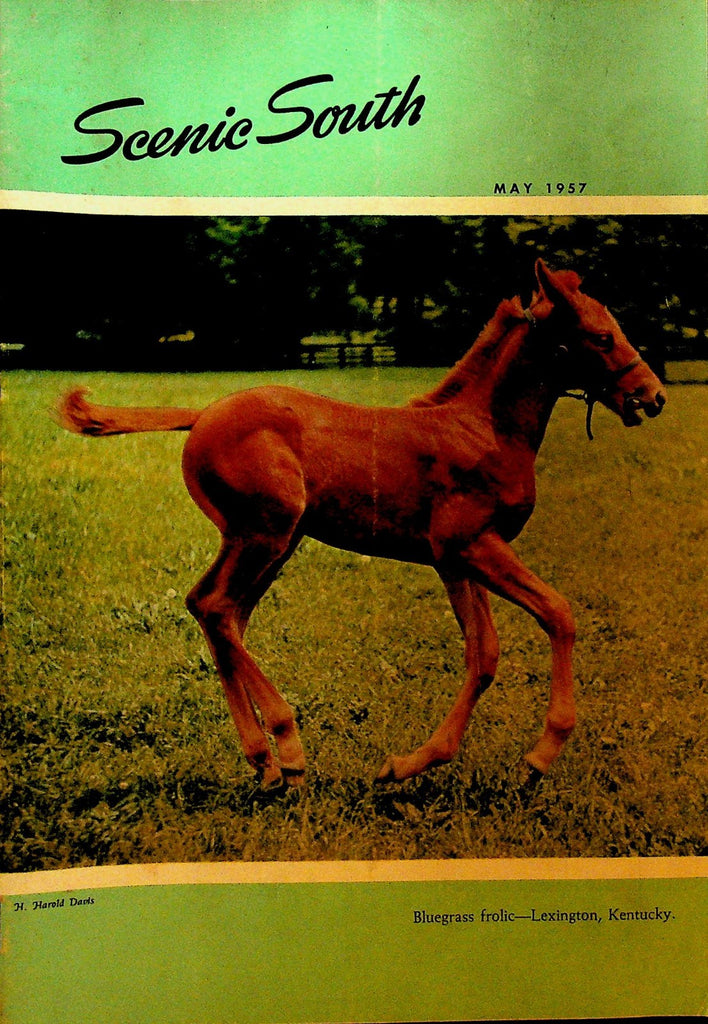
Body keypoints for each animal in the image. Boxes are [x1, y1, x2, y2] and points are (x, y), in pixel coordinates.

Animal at [58, 260, 667, 792]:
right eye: (602, 337)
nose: (653, 396)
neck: (484, 429)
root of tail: (203, 413)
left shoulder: (455, 559)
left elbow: (484, 656)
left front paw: (409, 764)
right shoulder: (472, 545)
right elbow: (557, 615)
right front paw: (540, 755)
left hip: (272, 542)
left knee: (219, 613)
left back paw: (265, 762)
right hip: (264, 532)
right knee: (213, 608)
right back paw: (288, 747)